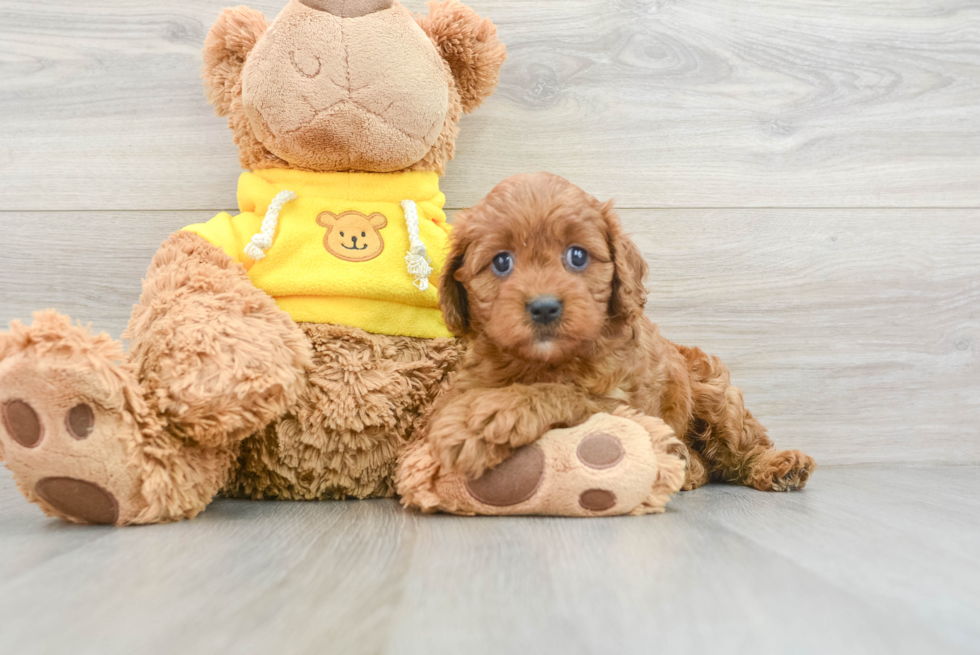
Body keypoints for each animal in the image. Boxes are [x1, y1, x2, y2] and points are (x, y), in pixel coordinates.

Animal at [420, 173, 812, 492]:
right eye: (501, 262)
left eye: (577, 256)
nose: (544, 307)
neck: (546, 362)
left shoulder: (622, 404)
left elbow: (564, 394)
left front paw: (488, 417)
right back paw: (689, 467)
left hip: (716, 393)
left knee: (740, 445)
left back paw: (777, 466)